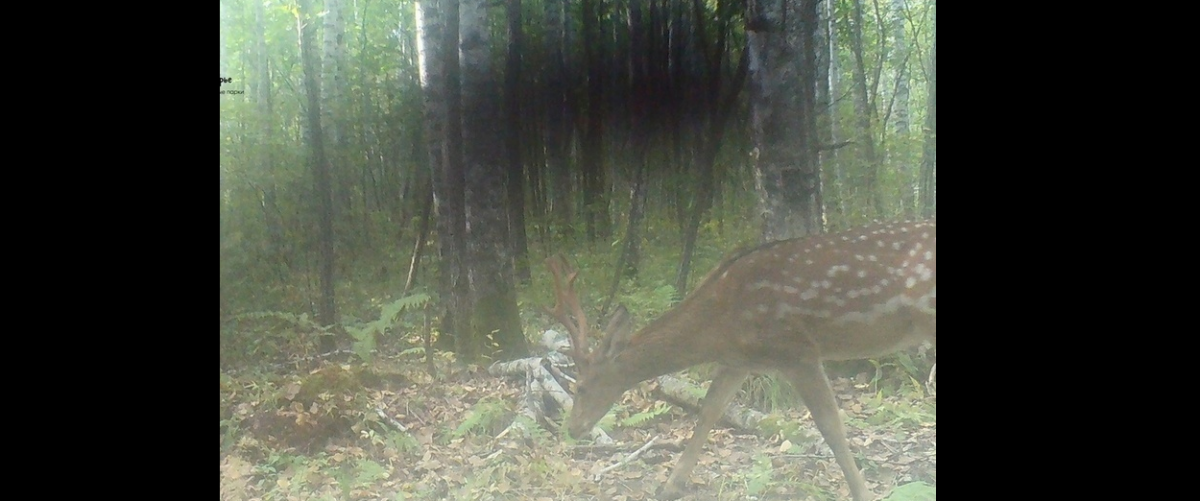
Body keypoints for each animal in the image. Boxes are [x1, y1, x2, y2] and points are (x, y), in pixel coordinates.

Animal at [544, 220, 936, 501]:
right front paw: (669, 486)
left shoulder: (796, 350)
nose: (572, 428)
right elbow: (709, 410)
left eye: (580, 386)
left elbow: (831, 426)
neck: (718, 324)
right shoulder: (740, 361)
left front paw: (863, 492)